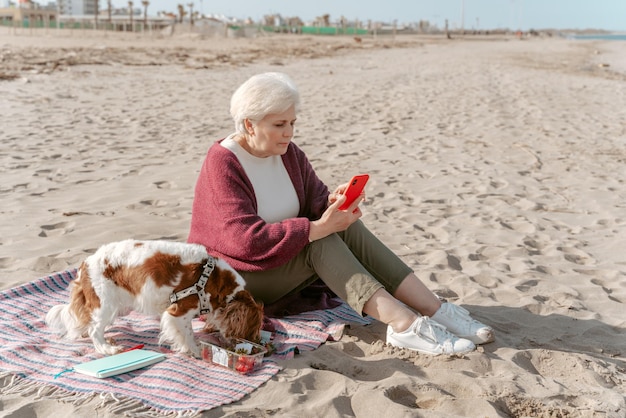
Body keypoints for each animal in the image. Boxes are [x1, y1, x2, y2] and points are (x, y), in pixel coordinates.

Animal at [45, 240, 262, 358]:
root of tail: (86, 263)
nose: (257, 345)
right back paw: (108, 348)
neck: (214, 280)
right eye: (252, 332)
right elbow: (188, 334)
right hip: (106, 303)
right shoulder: (179, 311)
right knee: (94, 330)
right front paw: (196, 350)